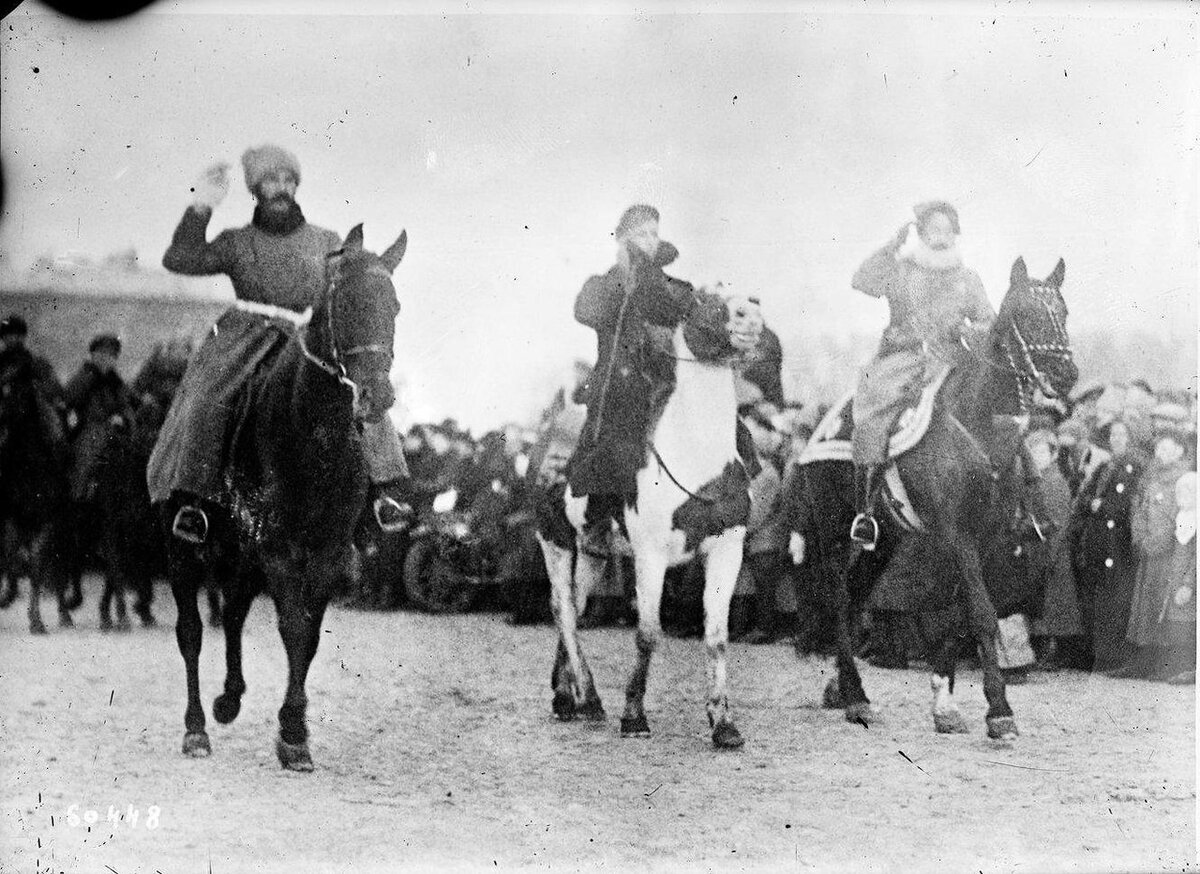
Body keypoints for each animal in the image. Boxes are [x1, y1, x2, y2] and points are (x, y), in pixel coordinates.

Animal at [0, 345, 76, 633]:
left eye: (14, 390)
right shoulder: (11, 517)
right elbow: (10, 557)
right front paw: (7, 597)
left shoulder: (49, 519)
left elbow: (37, 563)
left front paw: (36, 620)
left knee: (59, 562)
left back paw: (65, 613)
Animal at [162, 225, 405, 773]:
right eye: (345, 302)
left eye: (395, 306)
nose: (376, 396)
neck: (312, 435)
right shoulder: (279, 548)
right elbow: (293, 627)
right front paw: (293, 734)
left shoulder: (329, 552)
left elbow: (308, 637)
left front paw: (294, 728)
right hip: (187, 551)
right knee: (191, 633)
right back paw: (195, 728)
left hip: (241, 554)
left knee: (232, 614)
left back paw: (228, 700)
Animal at [540, 290, 763, 749]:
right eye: (707, 300)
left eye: (751, 299)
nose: (752, 319)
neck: (696, 457)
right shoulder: (650, 556)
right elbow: (647, 634)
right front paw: (634, 715)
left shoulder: (727, 549)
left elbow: (717, 637)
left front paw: (723, 724)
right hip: (557, 541)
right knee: (564, 610)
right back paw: (588, 699)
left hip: (594, 554)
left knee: (576, 606)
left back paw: (566, 697)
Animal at [796, 258, 1080, 739]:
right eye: (1024, 313)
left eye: (1063, 311)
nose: (1065, 376)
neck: (979, 423)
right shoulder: (958, 535)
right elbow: (981, 612)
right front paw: (998, 709)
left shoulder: (987, 539)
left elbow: (960, 614)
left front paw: (944, 703)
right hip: (834, 532)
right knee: (837, 598)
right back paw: (855, 695)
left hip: (884, 541)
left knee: (856, 595)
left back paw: (841, 687)